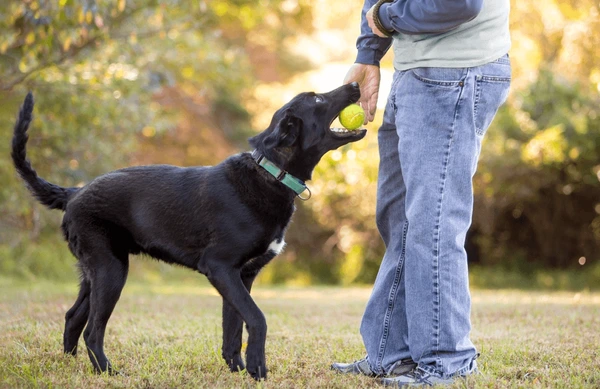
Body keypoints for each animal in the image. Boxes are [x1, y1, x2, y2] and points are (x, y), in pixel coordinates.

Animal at [10, 82, 366, 378]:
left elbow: (233, 329)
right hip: (111, 270)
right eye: (317, 99)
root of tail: (74, 192)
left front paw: (237, 370)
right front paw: (257, 369)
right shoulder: (220, 267)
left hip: (94, 271)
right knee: (92, 330)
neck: (270, 174)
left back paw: (70, 365)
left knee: (73, 317)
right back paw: (108, 372)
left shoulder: (241, 275)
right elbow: (257, 319)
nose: (355, 84)